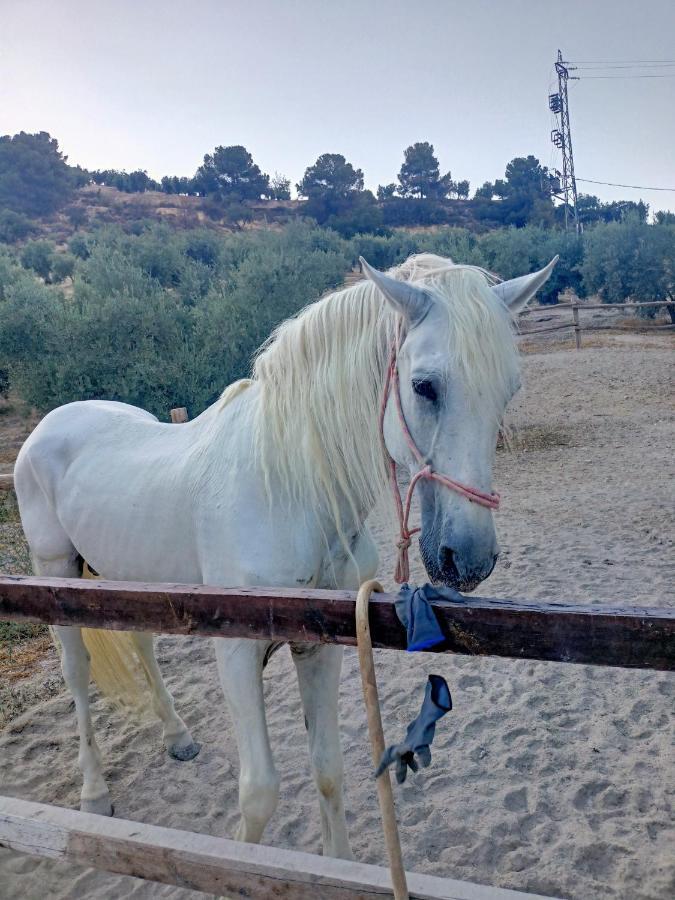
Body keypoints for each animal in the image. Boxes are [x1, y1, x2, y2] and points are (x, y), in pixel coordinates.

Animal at [14, 253, 556, 856]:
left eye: (508, 390)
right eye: (424, 386)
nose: (470, 558)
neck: (288, 490)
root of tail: (51, 423)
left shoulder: (320, 645)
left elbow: (328, 771)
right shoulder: (236, 652)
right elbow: (259, 793)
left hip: (129, 582)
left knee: (142, 646)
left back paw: (178, 736)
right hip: (56, 575)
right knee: (77, 673)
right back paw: (94, 791)